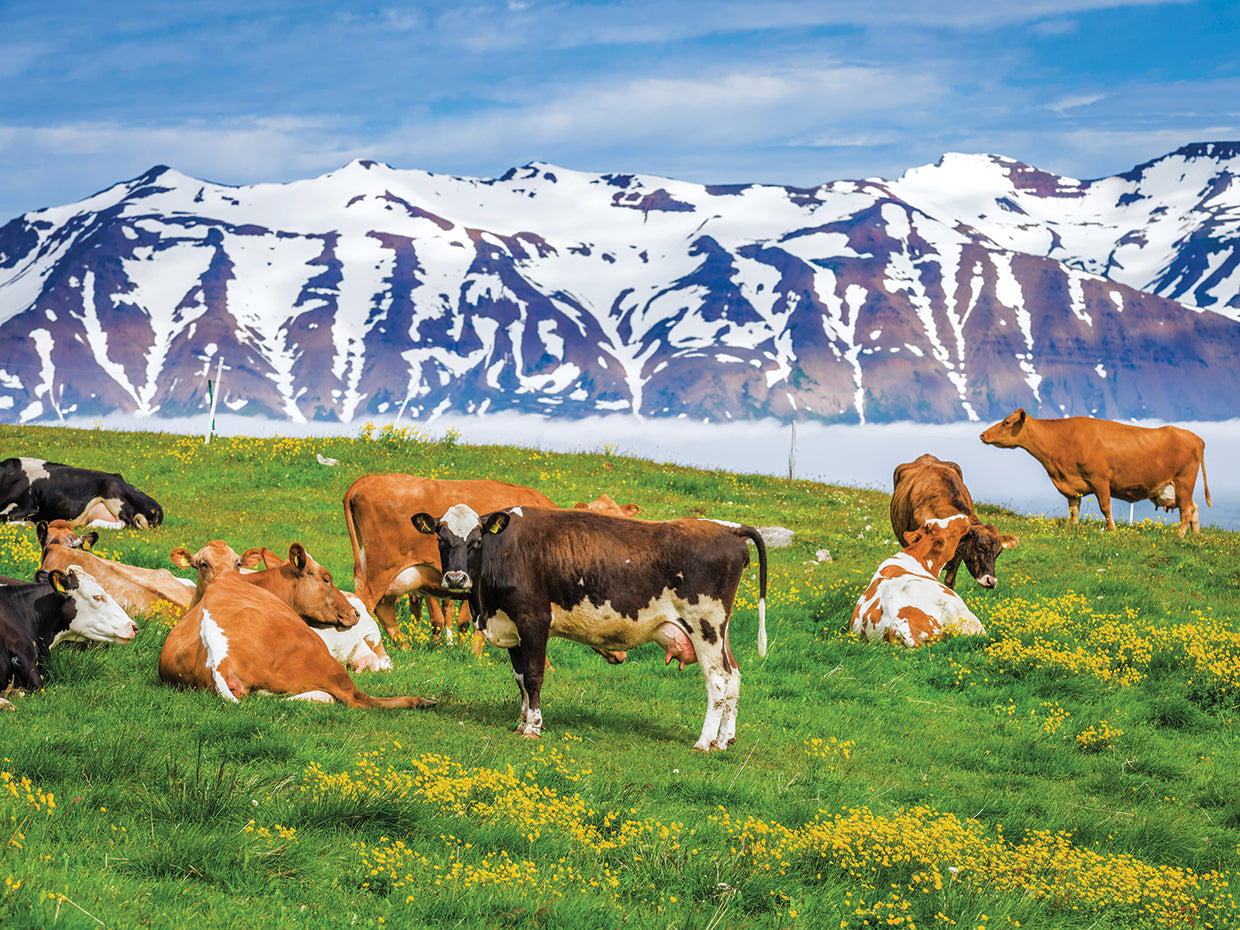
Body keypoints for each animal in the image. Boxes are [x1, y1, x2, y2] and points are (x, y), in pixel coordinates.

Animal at [412, 504, 768, 752]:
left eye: (476, 541)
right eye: (441, 539)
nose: (456, 578)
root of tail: (726, 528)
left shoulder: (533, 621)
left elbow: (534, 676)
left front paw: (534, 728)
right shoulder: (512, 627)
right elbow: (520, 679)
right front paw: (521, 722)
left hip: (705, 625)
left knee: (718, 681)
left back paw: (704, 742)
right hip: (719, 631)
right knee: (734, 674)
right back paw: (724, 740)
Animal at [890, 454, 1019, 589]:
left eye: (998, 553)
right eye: (980, 546)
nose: (991, 581)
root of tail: (926, 456)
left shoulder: (959, 554)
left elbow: (949, 581)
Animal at [980, 409, 1212, 536]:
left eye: (1006, 422)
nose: (982, 434)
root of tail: (1197, 438)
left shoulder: (1100, 479)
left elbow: (1105, 507)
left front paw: (1112, 530)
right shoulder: (1071, 485)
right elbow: (1074, 509)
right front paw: (1073, 529)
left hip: (1184, 482)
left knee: (1187, 510)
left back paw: (1179, 536)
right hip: (1178, 486)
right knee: (1194, 508)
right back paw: (1195, 537)